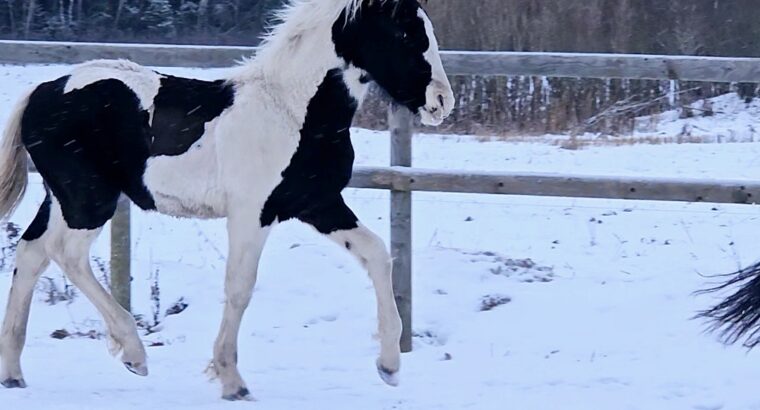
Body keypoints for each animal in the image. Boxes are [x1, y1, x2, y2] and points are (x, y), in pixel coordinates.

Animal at [0, 0, 452, 398]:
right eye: (405, 32)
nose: (441, 102)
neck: (293, 110)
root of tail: (40, 90)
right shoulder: (252, 213)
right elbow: (239, 287)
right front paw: (232, 381)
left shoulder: (318, 204)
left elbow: (376, 254)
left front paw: (389, 367)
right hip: (89, 199)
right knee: (66, 254)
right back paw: (133, 354)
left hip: (63, 199)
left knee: (32, 251)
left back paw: (14, 373)